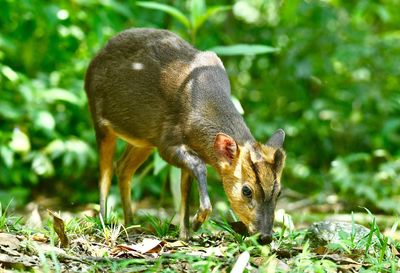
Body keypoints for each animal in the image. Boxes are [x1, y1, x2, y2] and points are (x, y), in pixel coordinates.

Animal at [85, 28, 284, 243]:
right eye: (246, 190)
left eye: (279, 192)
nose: (265, 236)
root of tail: (93, 60)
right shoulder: (167, 142)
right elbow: (198, 166)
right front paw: (197, 222)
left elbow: (185, 189)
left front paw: (185, 233)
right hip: (100, 120)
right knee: (105, 173)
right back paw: (104, 222)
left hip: (143, 139)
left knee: (122, 167)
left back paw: (131, 224)